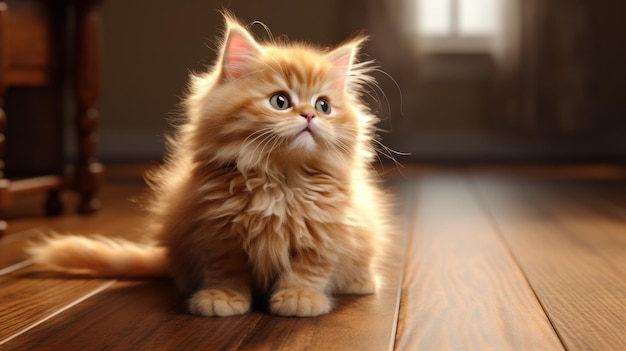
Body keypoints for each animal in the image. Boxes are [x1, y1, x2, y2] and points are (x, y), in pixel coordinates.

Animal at [29, 14, 392, 320]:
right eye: (280, 101)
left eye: (324, 105)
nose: (309, 115)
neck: (279, 179)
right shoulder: (216, 231)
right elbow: (226, 270)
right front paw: (223, 298)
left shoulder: (326, 232)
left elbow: (309, 269)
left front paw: (299, 297)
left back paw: (361, 281)